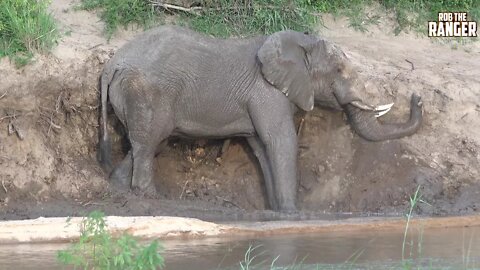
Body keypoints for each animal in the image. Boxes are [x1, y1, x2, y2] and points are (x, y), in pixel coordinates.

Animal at [98, 25, 424, 211]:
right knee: (150, 142)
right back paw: (151, 197)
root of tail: (111, 64)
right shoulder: (268, 92)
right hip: (145, 93)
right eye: (340, 71)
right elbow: (282, 141)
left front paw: (277, 210)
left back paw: (120, 186)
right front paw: (293, 214)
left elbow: (262, 148)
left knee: (149, 143)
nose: (417, 99)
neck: (301, 42)